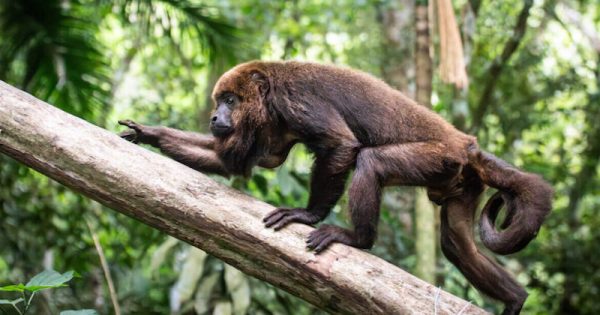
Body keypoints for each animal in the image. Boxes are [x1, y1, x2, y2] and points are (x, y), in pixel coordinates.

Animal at [119, 60, 556, 314]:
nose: (214, 117)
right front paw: (150, 133)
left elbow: (342, 146)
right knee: (456, 244)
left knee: (371, 161)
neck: (269, 94)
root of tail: (467, 143)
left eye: (229, 99)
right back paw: (515, 299)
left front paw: (307, 214)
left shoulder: (294, 98)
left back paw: (357, 237)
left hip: (441, 157)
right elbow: (245, 161)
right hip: (460, 182)